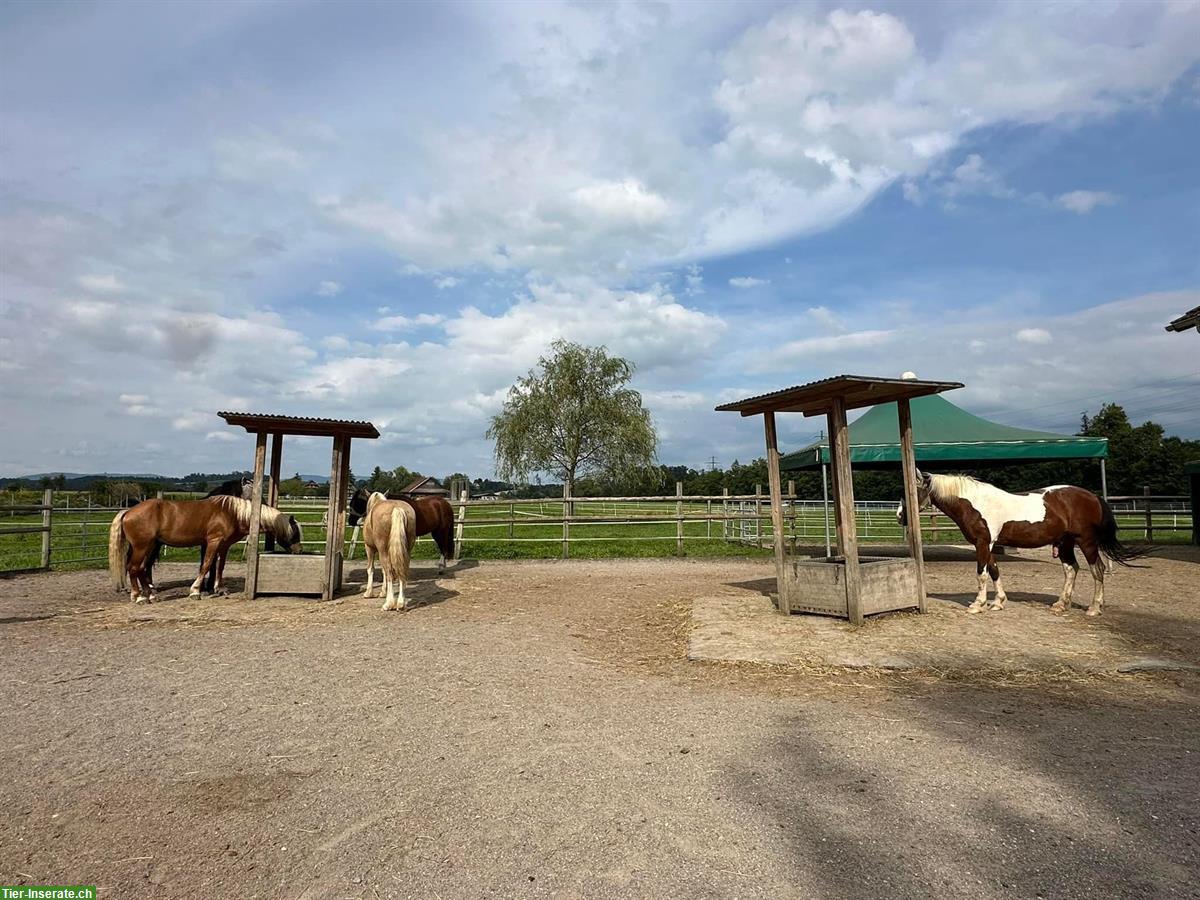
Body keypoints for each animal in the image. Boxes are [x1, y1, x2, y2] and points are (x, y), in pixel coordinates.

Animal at [109, 496, 300, 602]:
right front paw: (195, 591)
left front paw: (219, 589)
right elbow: (206, 565)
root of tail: (128, 511)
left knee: (141, 569)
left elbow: (220, 567)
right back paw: (139, 597)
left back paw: (149, 595)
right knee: (134, 568)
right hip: (142, 547)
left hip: (148, 546)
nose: (299, 551)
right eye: (294, 534)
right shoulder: (214, 542)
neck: (232, 513)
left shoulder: (224, 545)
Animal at [902, 472, 1142, 619]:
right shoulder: (989, 545)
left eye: (911, 491)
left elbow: (982, 574)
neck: (975, 503)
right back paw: (1061, 604)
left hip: (1087, 542)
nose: (899, 516)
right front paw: (998, 603)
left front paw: (978, 605)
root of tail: (1093, 496)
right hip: (1066, 543)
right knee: (1071, 569)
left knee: (1097, 570)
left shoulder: (983, 543)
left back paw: (1094, 608)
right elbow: (995, 571)